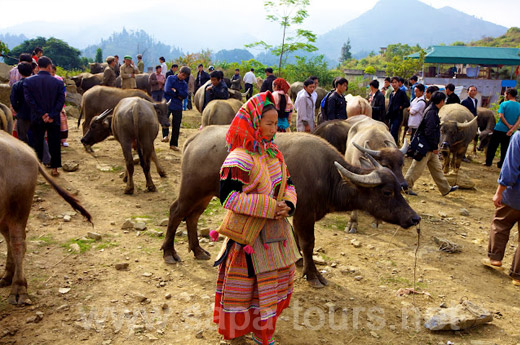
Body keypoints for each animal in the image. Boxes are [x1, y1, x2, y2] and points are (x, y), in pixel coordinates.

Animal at [0, 131, 91, 304]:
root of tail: (29, 151)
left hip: (18, 206)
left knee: (17, 242)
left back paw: (18, 290)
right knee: (9, 238)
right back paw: (7, 276)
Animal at [160, 125, 420, 286]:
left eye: (398, 189)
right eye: (387, 192)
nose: (414, 218)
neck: (328, 176)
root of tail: (195, 139)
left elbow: (297, 241)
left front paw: (298, 262)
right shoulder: (304, 214)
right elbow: (307, 243)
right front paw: (312, 274)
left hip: (204, 194)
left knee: (192, 216)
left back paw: (197, 250)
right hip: (191, 190)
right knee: (176, 211)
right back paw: (170, 252)